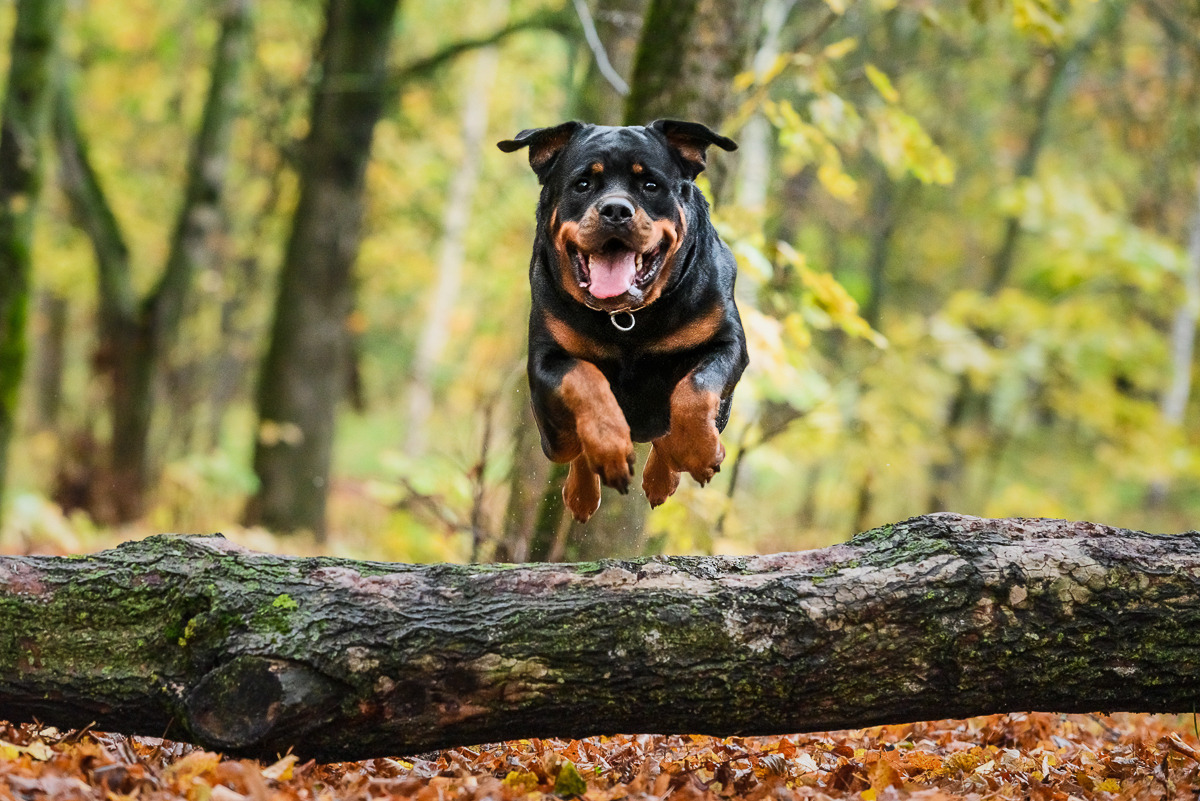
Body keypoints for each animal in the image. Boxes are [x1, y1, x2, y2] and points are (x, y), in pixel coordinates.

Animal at [499, 117, 744, 520]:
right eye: (583, 184)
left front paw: (696, 451)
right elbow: (584, 379)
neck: (626, 319)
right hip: (552, 435)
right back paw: (583, 493)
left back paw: (664, 475)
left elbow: (694, 389)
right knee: (574, 449)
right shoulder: (546, 358)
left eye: (650, 185)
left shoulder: (727, 343)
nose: (615, 210)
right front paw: (610, 448)